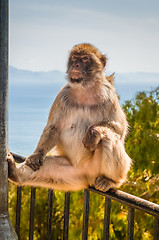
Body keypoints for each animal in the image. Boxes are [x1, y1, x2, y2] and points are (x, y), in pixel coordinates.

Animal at [7, 43, 132, 192]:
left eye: (84, 58)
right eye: (73, 58)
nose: (76, 64)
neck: (85, 90)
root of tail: (86, 178)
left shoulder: (109, 97)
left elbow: (119, 130)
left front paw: (93, 132)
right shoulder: (62, 95)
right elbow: (53, 127)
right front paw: (36, 155)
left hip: (98, 170)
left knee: (108, 136)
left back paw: (110, 181)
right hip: (70, 174)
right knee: (47, 165)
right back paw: (15, 173)